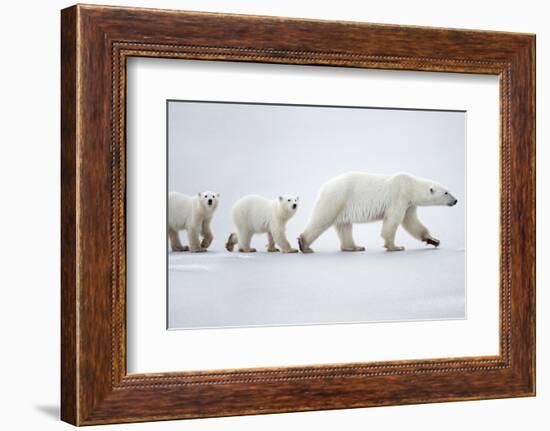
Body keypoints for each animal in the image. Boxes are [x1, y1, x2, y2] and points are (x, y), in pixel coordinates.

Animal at [300, 172, 460, 253]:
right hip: (336, 197)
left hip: (342, 204)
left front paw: (433, 240)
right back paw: (304, 244)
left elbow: (412, 222)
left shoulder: (409, 204)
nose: (456, 200)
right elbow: (393, 221)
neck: (411, 185)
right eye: (446, 193)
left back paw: (355, 247)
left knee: (345, 226)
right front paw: (395, 246)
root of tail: (324, 186)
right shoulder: (399, 196)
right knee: (321, 219)